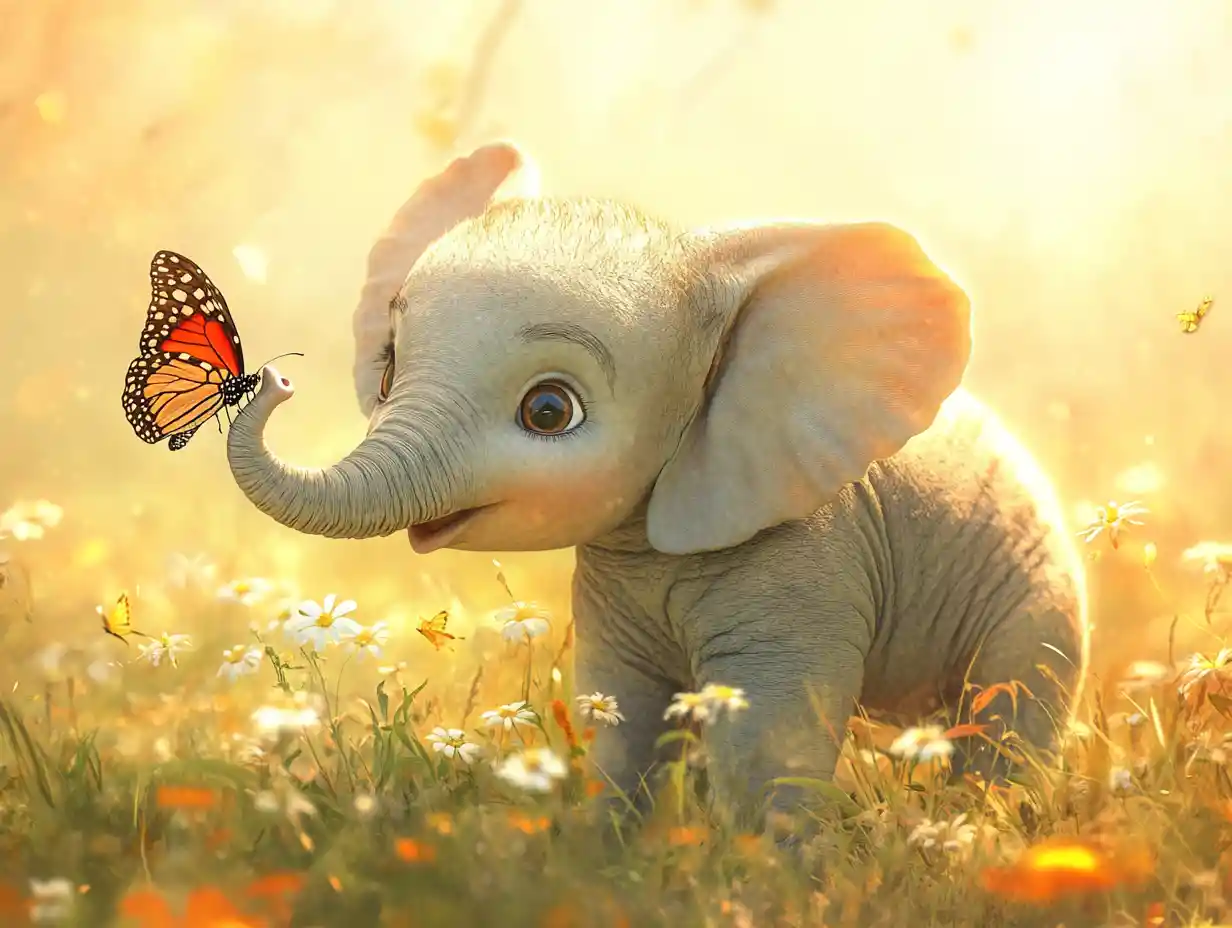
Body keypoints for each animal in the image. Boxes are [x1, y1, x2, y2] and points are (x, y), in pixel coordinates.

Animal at [227, 141, 1089, 828]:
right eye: (388, 369)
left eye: (549, 410)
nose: (270, 378)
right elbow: (624, 714)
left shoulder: (811, 553)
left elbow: (767, 737)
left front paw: (774, 880)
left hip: (1036, 597)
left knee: (1007, 719)